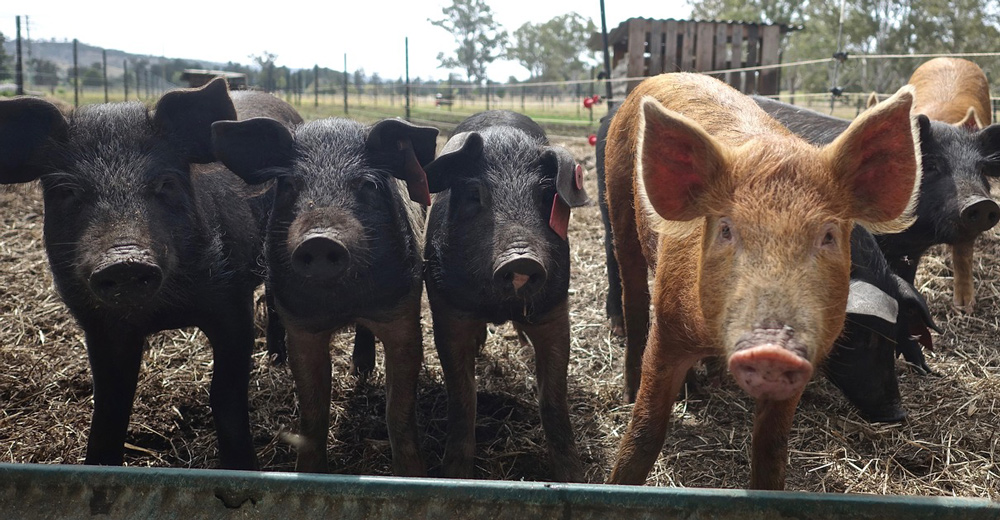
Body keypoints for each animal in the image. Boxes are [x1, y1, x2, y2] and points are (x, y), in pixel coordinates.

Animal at [0, 77, 286, 469]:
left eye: (164, 183)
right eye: (67, 190)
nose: (125, 261)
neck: (164, 315)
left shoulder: (233, 302)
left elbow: (225, 394)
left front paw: (242, 470)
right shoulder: (99, 325)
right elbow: (110, 404)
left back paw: (277, 362)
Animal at [211, 115, 437, 476]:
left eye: (367, 184)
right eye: (290, 183)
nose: (320, 240)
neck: (343, 303)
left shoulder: (403, 311)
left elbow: (399, 411)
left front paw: (413, 476)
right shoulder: (301, 324)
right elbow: (312, 410)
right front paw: (310, 471)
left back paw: (362, 369)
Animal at [422, 110, 589, 482]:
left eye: (545, 195)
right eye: (474, 193)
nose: (522, 259)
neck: (498, 307)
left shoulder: (554, 310)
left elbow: (553, 398)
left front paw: (572, 477)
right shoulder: (448, 310)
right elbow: (462, 397)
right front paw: (454, 474)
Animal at [603, 73, 921, 489]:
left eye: (829, 235)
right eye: (726, 229)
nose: (773, 347)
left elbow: (771, 451)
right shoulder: (669, 327)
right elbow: (645, 431)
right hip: (618, 202)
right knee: (634, 297)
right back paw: (632, 389)